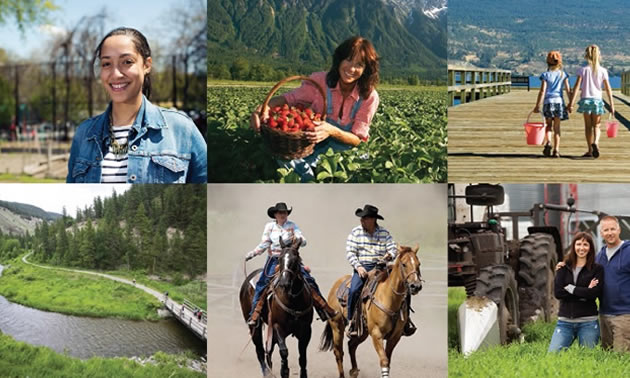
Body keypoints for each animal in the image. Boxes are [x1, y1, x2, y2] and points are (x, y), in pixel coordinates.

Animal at [238, 239, 314, 378]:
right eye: (279, 259)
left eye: (296, 259)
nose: (284, 282)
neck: (293, 300)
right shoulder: (278, 326)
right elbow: (284, 351)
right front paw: (284, 371)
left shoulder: (306, 329)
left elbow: (302, 356)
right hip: (254, 326)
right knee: (260, 349)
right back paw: (267, 372)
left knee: (269, 349)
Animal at [320, 245, 424, 378]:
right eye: (404, 264)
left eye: (418, 264)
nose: (416, 286)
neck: (389, 298)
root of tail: (336, 285)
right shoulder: (376, 333)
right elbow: (384, 360)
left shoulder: (395, 337)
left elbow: (388, 360)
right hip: (337, 326)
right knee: (338, 352)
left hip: (362, 331)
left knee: (351, 345)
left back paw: (354, 371)